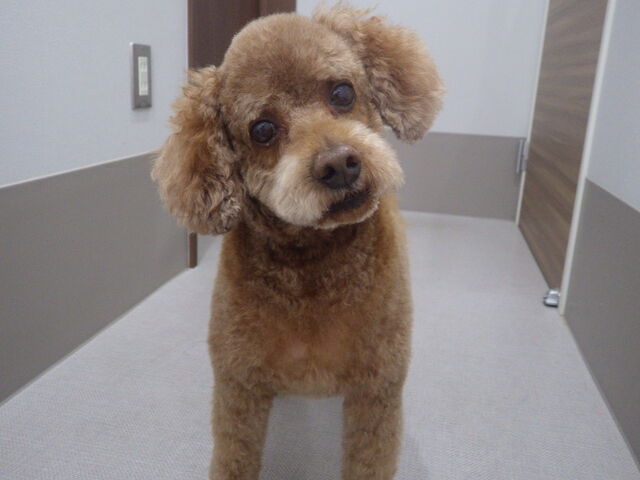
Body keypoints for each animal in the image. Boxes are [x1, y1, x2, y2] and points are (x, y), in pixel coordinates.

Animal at [152, 4, 443, 479]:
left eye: (342, 92)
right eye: (263, 130)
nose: (339, 164)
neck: (313, 263)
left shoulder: (377, 388)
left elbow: (370, 459)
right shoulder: (239, 385)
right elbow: (233, 456)